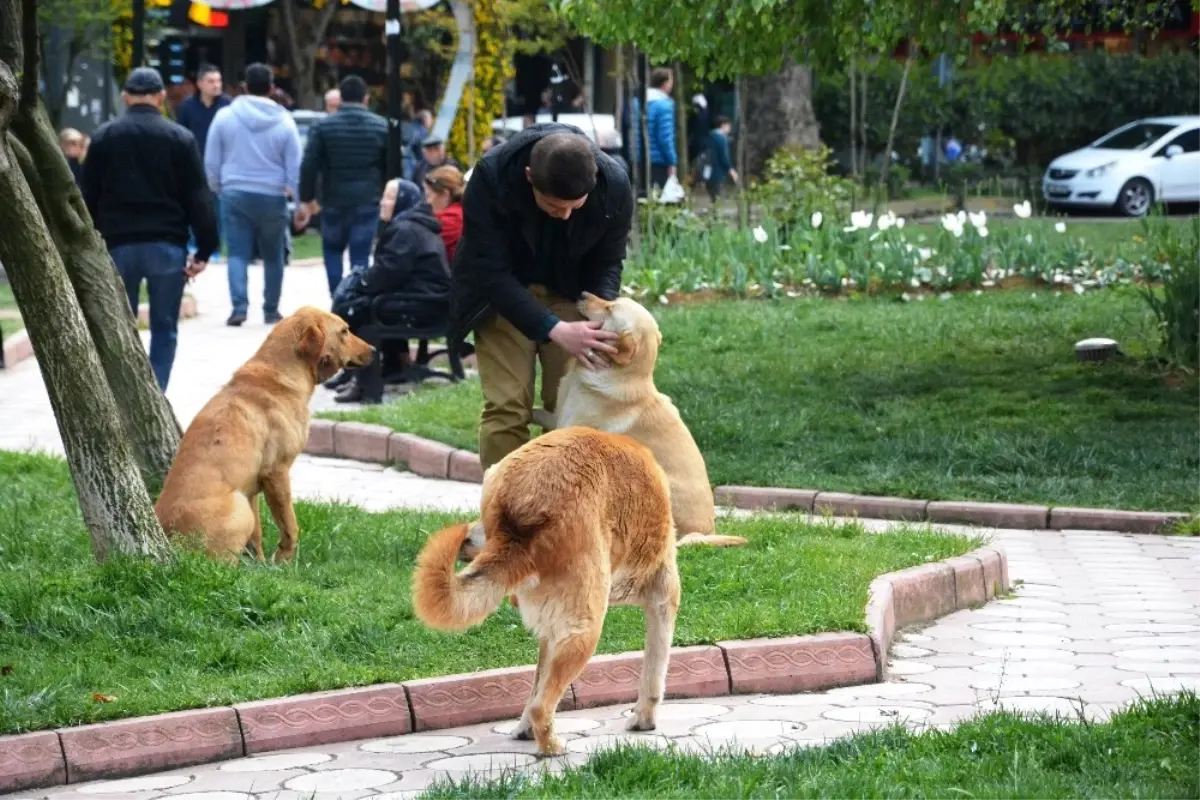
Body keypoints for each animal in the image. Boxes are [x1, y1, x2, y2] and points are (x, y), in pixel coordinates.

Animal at [154, 307, 372, 563]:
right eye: (345, 331)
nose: (374, 350)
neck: (280, 373)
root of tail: (173, 541)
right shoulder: (277, 472)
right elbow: (290, 526)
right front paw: (282, 561)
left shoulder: (253, 487)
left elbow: (257, 536)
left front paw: (260, 564)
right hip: (239, 507)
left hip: (244, 502)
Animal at [412, 424, 681, 758]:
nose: (465, 538)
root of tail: (523, 506)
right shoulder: (664, 596)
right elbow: (654, 672)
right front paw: (644, 720)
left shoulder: (549, 629)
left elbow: (537, 681)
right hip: (584, 630)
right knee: (543, 706)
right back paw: (552, 747)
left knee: (538, 698)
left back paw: (530, 732)